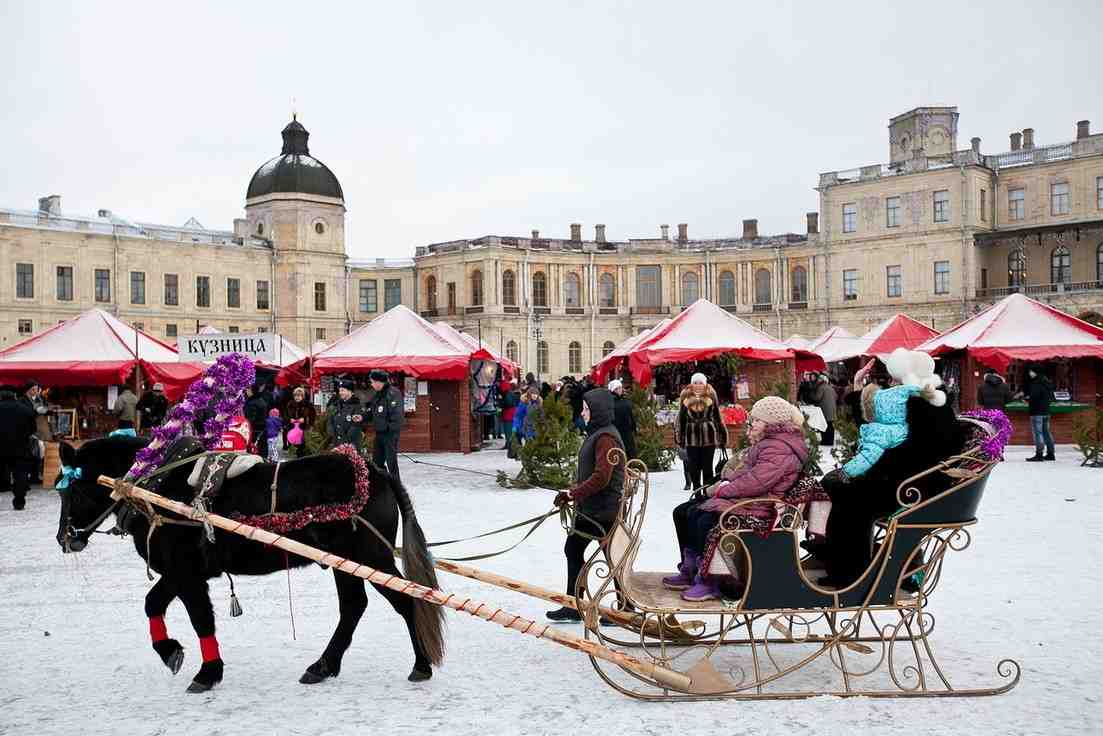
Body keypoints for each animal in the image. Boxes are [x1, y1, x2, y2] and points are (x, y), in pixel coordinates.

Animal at [54, 436, 443, 697]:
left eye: (75, 491)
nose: (64, 538)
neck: (159, 488)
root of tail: (373, 472)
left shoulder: (186, 573)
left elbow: (198, 618)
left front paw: (207, 672)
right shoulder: (181, 573)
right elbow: (154, 605)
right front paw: (171, 652)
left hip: (371, 558)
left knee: (407, 601)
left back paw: (421, 664)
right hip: (347, 563)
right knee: (353, 607)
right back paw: (322, 666)